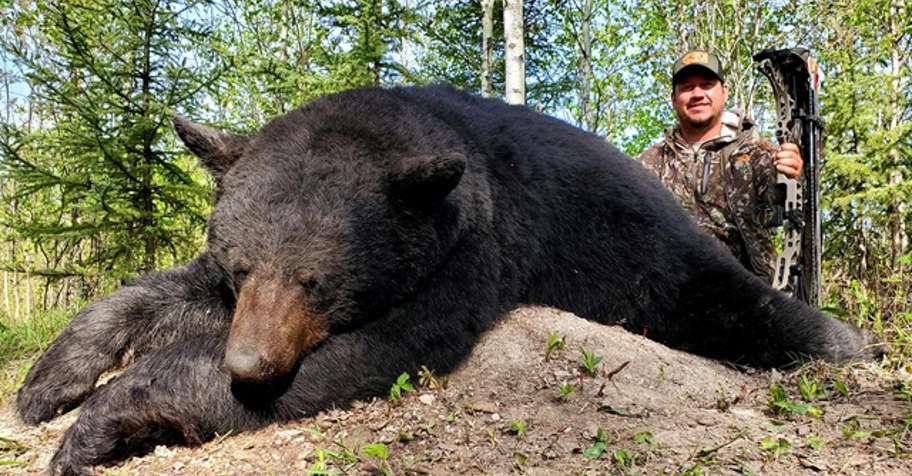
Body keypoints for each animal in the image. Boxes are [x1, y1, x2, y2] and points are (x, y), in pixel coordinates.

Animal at [16, 85, 872, 475]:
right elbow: (157, 293)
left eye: (316, 281)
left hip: (671, 267)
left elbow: (366, 355)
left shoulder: (475, 254)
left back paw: (847, 345)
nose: (250, 365)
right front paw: (48, 383)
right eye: (243, 264)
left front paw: (98, 426)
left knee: (757, 312)